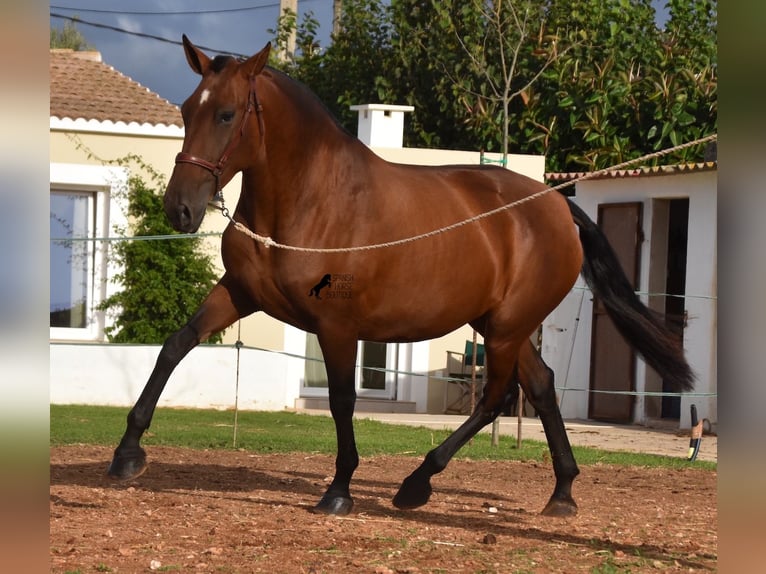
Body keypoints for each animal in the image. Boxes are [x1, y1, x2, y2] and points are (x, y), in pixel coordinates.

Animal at [106, 38, 696, 520]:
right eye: (188, 110)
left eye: (227, 114)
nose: (180, 209)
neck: (311, 200)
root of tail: (555, 204)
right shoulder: (240, 293)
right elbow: (175, 345)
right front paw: (126, 454)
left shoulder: (336, 325)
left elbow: (342, 399)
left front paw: (339, 490)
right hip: (501, 323)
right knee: (541, 386)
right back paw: (562, 494)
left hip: (507, 326)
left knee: (496, 396)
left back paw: (417, 484)